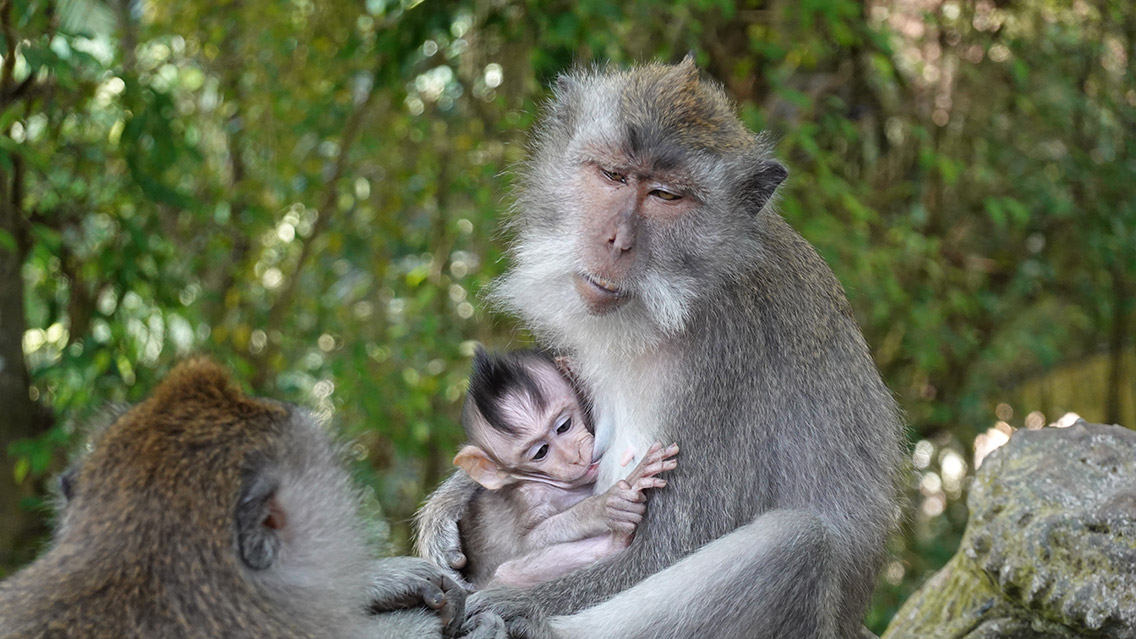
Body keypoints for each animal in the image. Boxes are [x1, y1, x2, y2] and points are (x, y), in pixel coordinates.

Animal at [450, 347, 678, 590]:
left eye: (563, 426)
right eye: (541, 452)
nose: (573, 457)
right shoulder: (529, 496)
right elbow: (527, 540)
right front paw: (604, 507)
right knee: (506, 573)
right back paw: (615, 542)